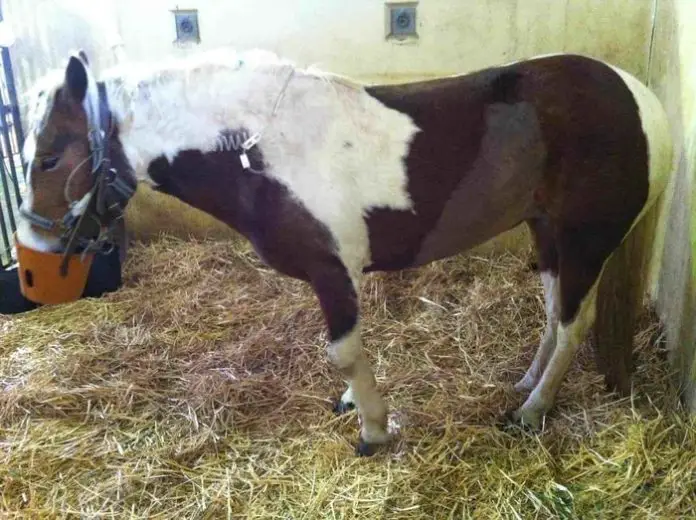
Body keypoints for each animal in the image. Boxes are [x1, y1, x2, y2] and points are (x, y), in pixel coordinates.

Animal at [17, 48, 673, 456]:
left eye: (47, 158)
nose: (32, 258)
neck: (262, 151)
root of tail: (642, 101)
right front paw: (357, 407)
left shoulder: (333, 274)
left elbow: (344, 353)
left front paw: (373, 431)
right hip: (547, 234)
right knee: (554, 314)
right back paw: (525, 384)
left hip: (583, 241)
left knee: (574, 324)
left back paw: (533, 411)